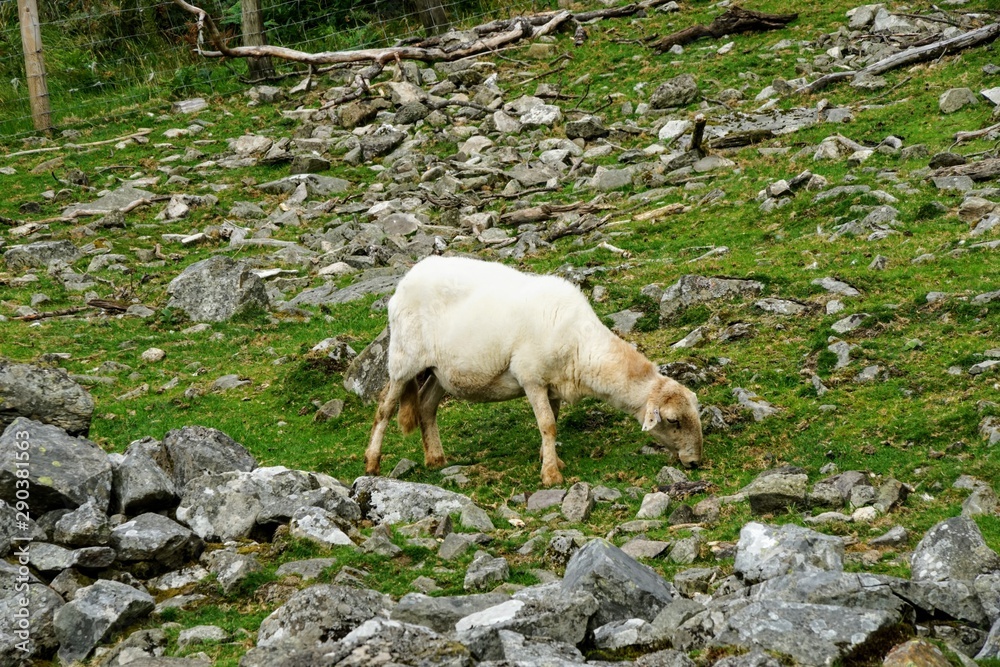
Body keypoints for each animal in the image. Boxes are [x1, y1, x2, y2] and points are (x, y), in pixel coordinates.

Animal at [365, 255, 703, 486]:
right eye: (673, 421)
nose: (695, 462)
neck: (580, 343)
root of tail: (409, 276)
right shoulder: (532, 378)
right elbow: (548, 425)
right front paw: (551, 475)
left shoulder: (553, 384)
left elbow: (552, 421)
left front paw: (551, 459)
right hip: (403, 360)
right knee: (384, 409)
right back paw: (372, 463)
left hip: (441, 371)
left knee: (426, 406)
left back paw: (435, 458)